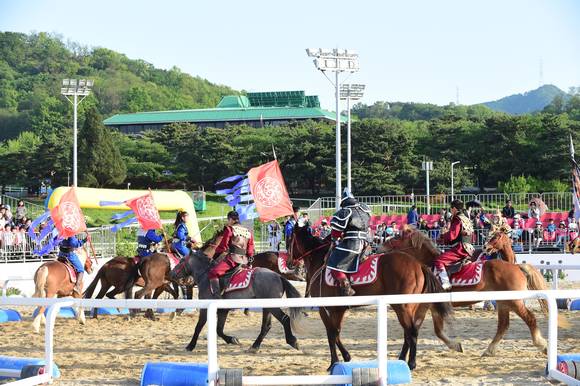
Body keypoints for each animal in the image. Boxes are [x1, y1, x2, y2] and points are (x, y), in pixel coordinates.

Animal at [290, 226, 454, 370]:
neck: (321, 261)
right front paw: (346, 356)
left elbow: (331, 334)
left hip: (402, 306)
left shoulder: (326, 309)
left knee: (411, 331)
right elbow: (336, 333)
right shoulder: (339, 309)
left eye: (290, 238)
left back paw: (411, 363)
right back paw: (402, 359)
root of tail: (418, 265)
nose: (290, 261)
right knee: (409, 331)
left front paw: (334, 363)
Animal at [386, 228, 556, 358]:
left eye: (396, 237)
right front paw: (456, 345)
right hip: (503, 303)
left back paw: (542, 345)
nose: (381, 247)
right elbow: (437, 330)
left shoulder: (429, 305)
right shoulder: (432, 306)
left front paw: (455, 345)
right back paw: (489, 350)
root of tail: (516, 267)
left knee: (530, 319)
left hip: (514, 302)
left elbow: (436, 330)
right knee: (503, 325)